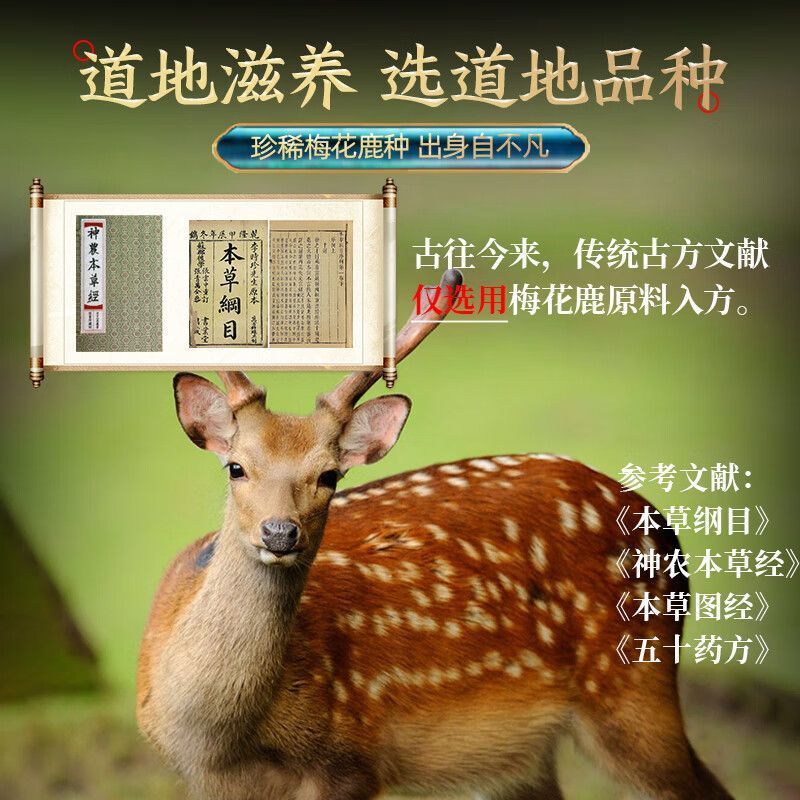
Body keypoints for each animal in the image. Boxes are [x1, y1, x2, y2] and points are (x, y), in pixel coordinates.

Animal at [136, 269, 734, 800]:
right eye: (235, 466)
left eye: (330, 475)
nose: (280, 532)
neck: (222, 743)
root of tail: (658, 520)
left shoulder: (352, 761)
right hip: (519, 757)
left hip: (635, 682)